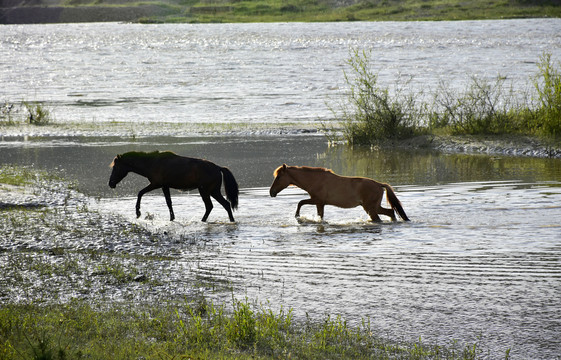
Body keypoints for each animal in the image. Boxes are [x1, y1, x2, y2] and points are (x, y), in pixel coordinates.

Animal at [108, 150, 237, 222]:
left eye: (115, 167)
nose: (110, 183)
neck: (151, 163)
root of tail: (218, 168)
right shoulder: (164, 186)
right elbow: (168, 202)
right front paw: (172, 217)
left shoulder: (156, 184)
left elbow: (140, 193)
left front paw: (138, 212)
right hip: (213, 191)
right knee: (226, 204)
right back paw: (231, 220)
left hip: (205, 191)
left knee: (210, 206)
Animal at [270, 164, 410, 221]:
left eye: (278, 177)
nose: (271, 192)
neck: (315, 180)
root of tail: (379, 184)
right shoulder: (320, 204)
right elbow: (320, 215)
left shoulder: (317, 200)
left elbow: (300, 202)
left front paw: (297, 215)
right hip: (374, 207)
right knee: (391, 212)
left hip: (370, 208)